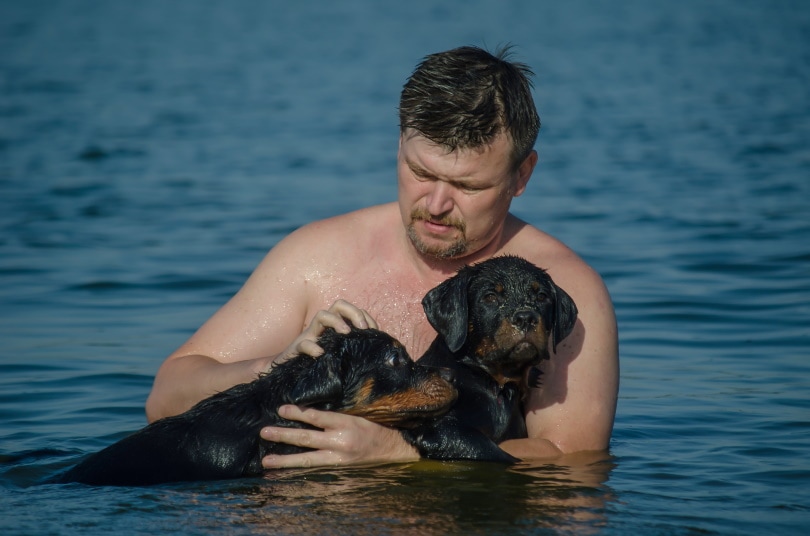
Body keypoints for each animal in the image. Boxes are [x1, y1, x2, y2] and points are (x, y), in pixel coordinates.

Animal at [400, 255, 576, 464]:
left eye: (542, 296)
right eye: (490, 297)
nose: (526, 318)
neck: (494, 383)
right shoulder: (437, 428)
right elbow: (495, 452)